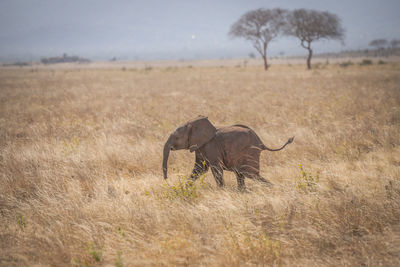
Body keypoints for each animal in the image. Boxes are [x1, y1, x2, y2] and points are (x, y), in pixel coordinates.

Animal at [162, 115, 294, 191]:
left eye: (177, 138)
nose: (166, 178)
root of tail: (261, 142)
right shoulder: (200, 147)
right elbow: (199, 169)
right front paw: (184, 189)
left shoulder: (211, 146)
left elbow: (215, 168)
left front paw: (221, 191)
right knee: (241, 173)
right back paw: (243, 192)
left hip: (250, 151)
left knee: (251, 174)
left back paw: (273, 188)